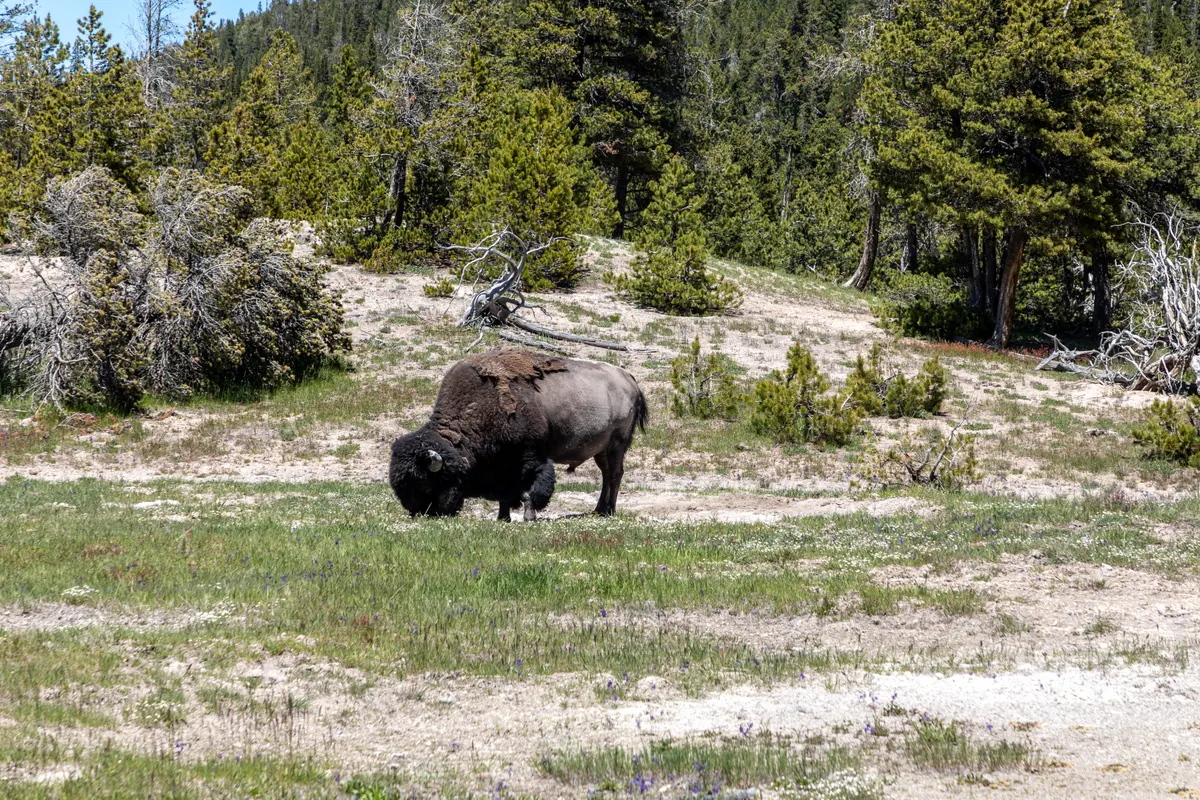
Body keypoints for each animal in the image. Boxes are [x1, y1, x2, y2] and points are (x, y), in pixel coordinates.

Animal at [389, 348, 647, 520]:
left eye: (425, 483)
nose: (420, 513)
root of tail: (629, 379)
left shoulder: (530, 458)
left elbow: (530, 489)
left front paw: (528, 517)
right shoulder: (503, 467)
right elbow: (507, 493)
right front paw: (502, 517)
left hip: (618, 444)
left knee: (615, 475)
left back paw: (608, 511)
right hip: (601, 450)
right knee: (606, 475)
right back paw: (599, 509)